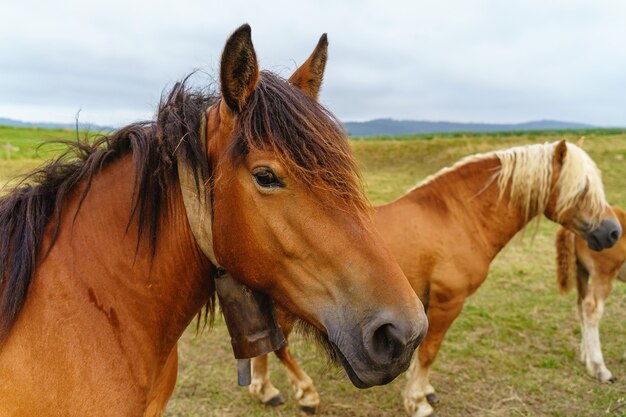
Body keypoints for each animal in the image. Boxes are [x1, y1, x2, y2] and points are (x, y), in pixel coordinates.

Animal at [552, 206, 620, 384]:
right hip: (603, 274)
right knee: (591, 308)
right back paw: (599, 368)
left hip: (582, 270)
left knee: (581, 305)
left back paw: (586, 357)